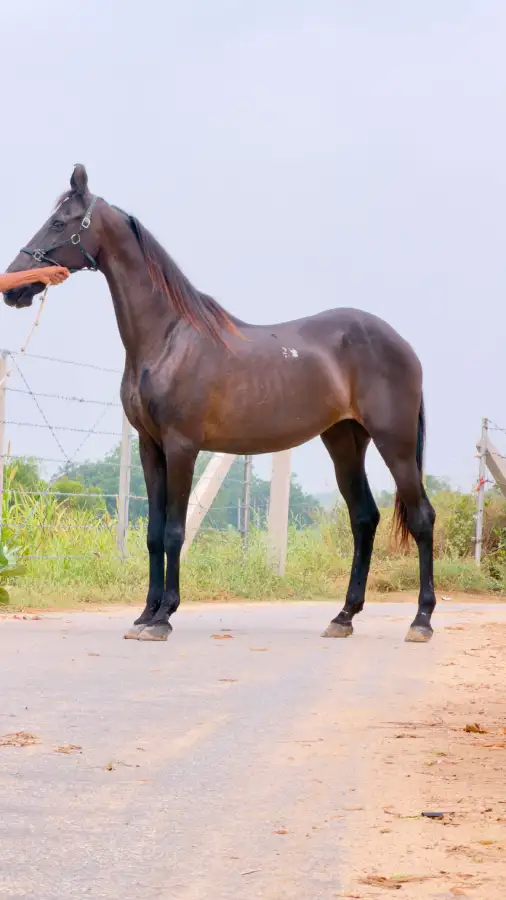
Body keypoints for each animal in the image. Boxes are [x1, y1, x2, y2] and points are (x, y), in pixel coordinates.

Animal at [3, 164, 436, 643]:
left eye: (59, 222)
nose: (13, 287)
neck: (167, 338)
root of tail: (403, 344)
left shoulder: (181, 446)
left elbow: (175, 531)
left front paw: (164, 617)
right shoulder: (150, 447)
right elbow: (153, 533)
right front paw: (144, 614)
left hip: (395, 443)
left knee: (422, 517)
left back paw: (421, 620)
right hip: (344, 440)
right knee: (364, 518)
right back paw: (343, 617)